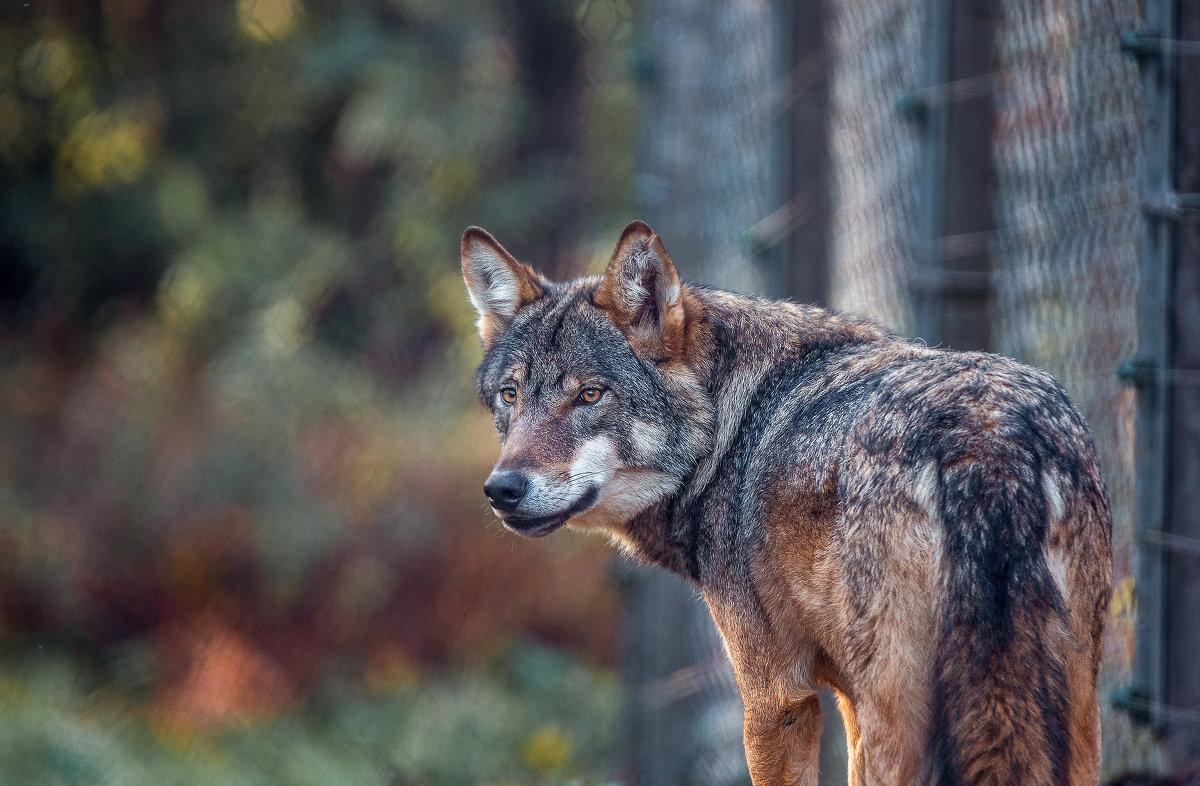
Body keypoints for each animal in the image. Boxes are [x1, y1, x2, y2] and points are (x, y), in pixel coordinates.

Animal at [460, 220, 1113, 786]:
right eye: (511, 396)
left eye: (590, 395)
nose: (503, 489)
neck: (728, 429)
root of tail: (988, 440)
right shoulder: (842, 698)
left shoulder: (776, 699)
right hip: (1071, 704)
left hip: (903, 711)